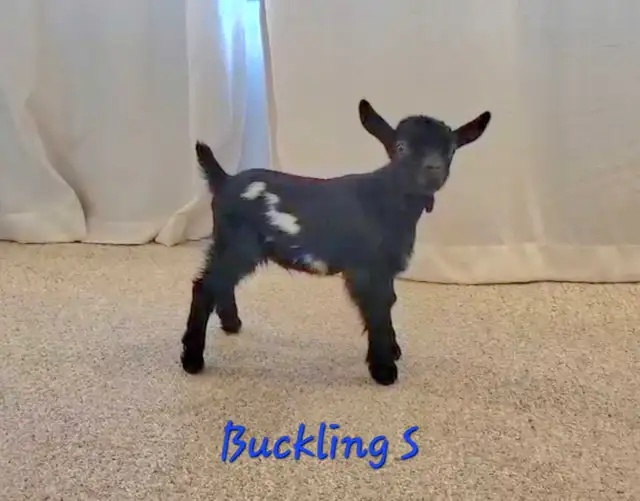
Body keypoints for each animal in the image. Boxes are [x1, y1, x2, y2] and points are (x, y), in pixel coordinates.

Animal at [180, 99, 492, 386]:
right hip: (238, 243)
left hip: (230, 245)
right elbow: (377, 309)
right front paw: (384, 370)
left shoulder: (384, 269)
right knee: (205, 287)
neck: (387, 198)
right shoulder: (367, 268)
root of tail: (225, 181)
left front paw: (392, 351)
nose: (433, 169)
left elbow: (388, 302)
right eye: (401, 147)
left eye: (450, 150)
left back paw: (231, 325)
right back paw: (192, 360)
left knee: (221, 283)